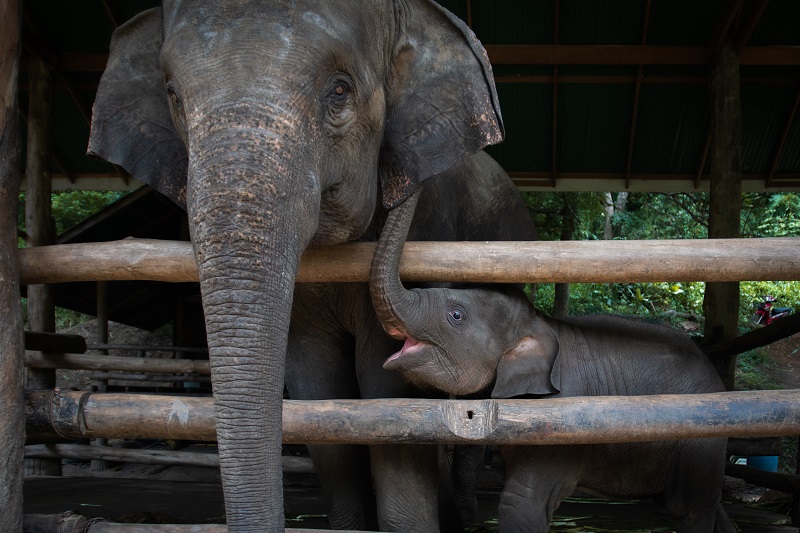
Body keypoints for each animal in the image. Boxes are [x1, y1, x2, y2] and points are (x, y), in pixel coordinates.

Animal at [369, 190, 739, 533]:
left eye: (456, 315)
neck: (540, 322)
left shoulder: (557, 423)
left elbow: (523, 504)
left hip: (700, 442)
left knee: (689, 509)